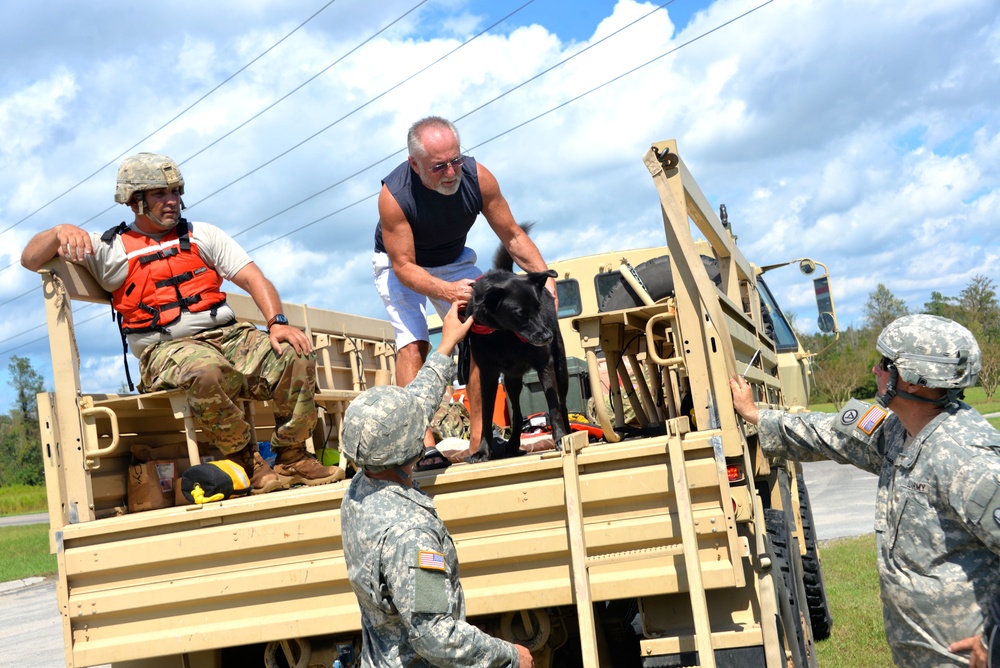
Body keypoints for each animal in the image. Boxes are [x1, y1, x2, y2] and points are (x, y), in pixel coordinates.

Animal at [466, 234, 572, 460]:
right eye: (520, 313)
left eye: (538, 308)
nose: (547, 336)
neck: (503, 334)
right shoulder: (487, 374)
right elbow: (486, 415)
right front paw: (483, 450)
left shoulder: (545, 365)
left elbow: (553, 405)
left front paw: (560, 438)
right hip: (510, 382)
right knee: (517, 413)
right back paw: (513, 444)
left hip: (561, 371)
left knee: (562, 404)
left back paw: (568, 432)